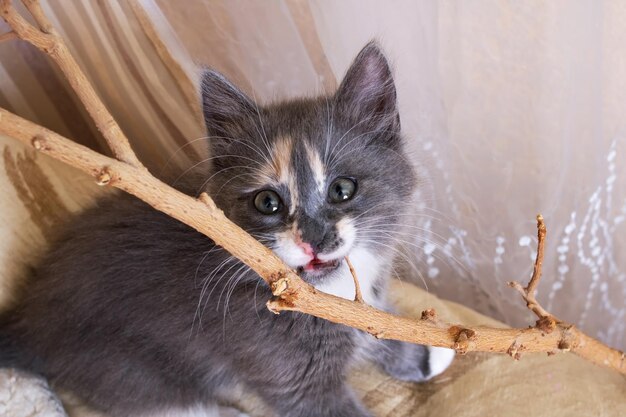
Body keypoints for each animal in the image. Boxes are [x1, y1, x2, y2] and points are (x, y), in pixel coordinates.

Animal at [0, 43, 448, 416]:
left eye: (342, 189)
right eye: (267, 203)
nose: (313, 239)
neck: (328, 297)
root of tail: (27, 317)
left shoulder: (363, 307)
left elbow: (377, 326)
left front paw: (423, 354)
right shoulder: (293, 379)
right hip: (126, 371)